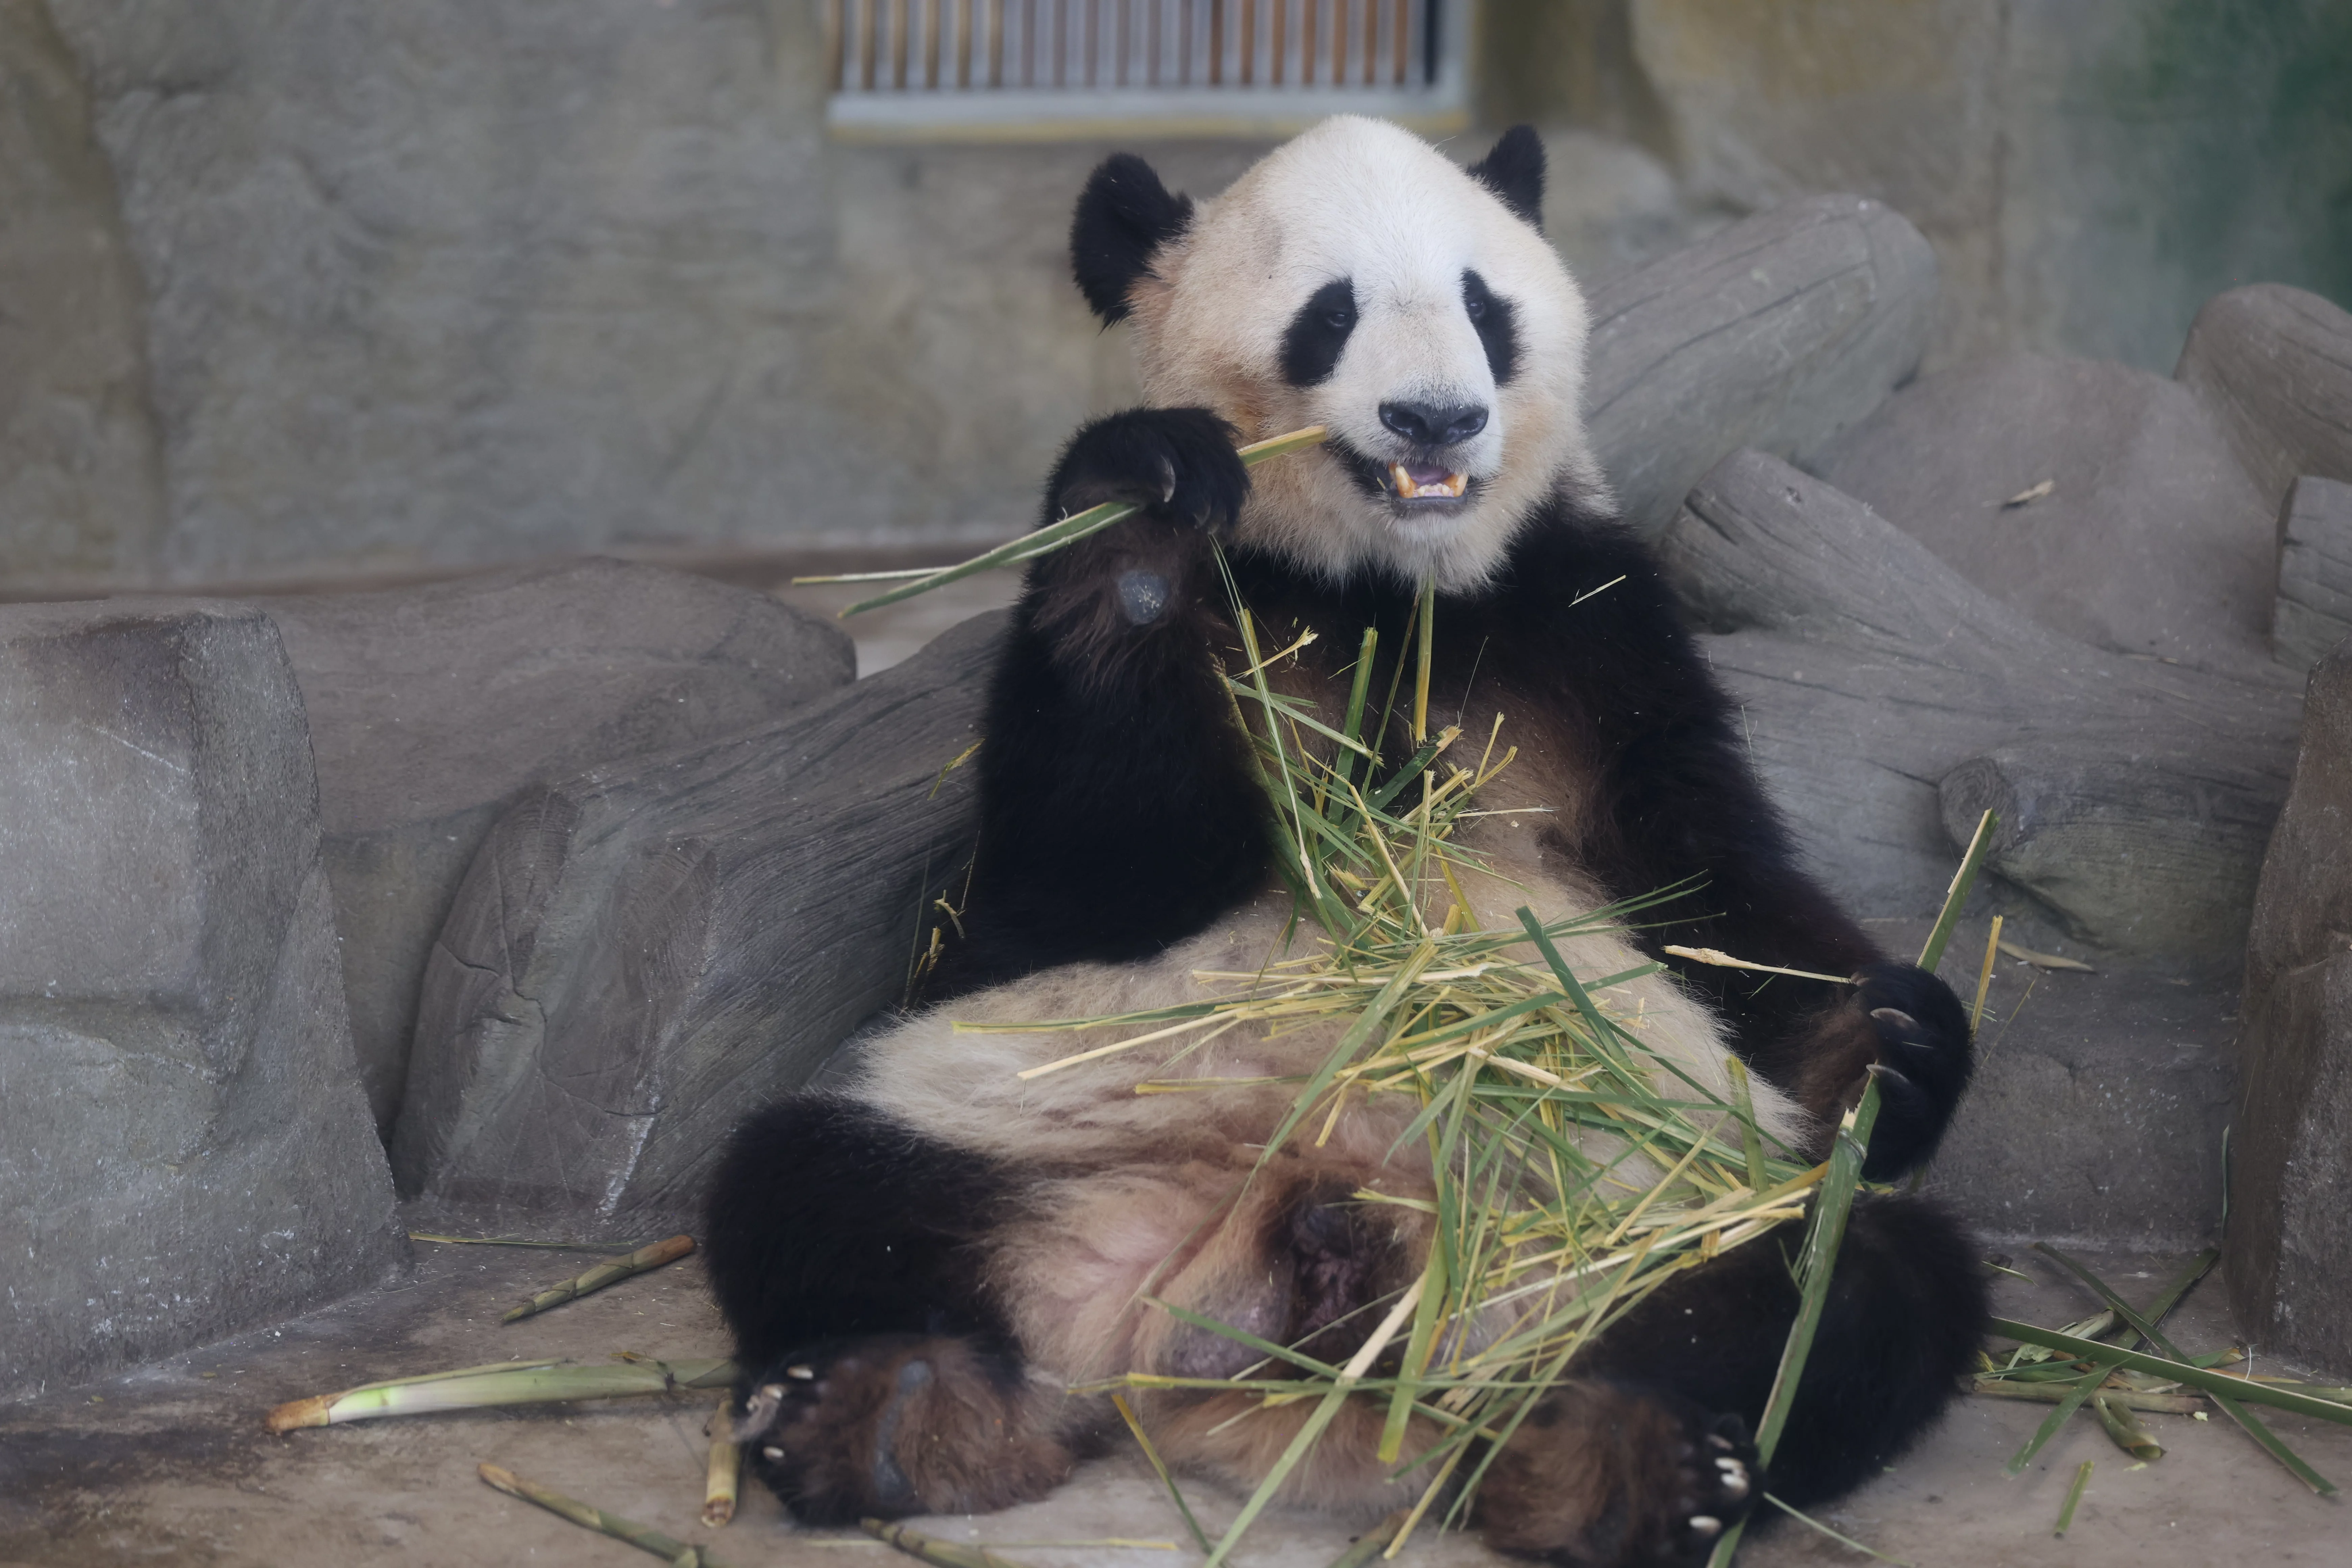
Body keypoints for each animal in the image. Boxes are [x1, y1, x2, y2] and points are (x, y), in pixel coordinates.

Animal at [705, 118, 1986, 1567]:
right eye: (1331, 313)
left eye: (1485, 307)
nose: (1435, 416)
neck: (1388, 588)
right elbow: (1086, 880)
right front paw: (1144, 516)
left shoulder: (1596, 628)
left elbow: (1715, 891)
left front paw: (1885, 1035)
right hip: (1013, 1135)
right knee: (815, 1185)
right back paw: (888, 1412)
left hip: (1641, 1214)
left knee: (1844, 1283)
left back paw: (1619, 1461)